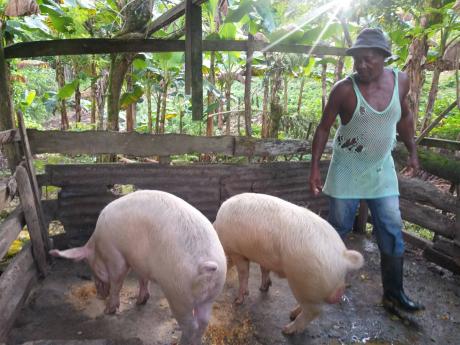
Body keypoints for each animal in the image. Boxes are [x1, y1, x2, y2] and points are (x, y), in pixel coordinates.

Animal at [49, 188, 226, 344]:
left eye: (91, 266)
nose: (99, 295)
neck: (98, 244)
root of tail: (207, 263)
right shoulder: (140, 261)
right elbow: (142, 279)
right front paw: (140, 301)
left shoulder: (115, 254)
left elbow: (117, 281)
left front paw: (109, 310)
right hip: (211, 294)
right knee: (203, 322)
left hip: (178, 293)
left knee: (191, 326)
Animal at [214, 191, 364, 334]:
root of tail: (343, 256)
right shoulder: (262, 256)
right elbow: (264, 269)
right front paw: (263, 288)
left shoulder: (237, 252)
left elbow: (243, 274)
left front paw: (238, 300)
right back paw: (292, 314)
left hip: (304, 283)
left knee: (314, 312)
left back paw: (287, 329)